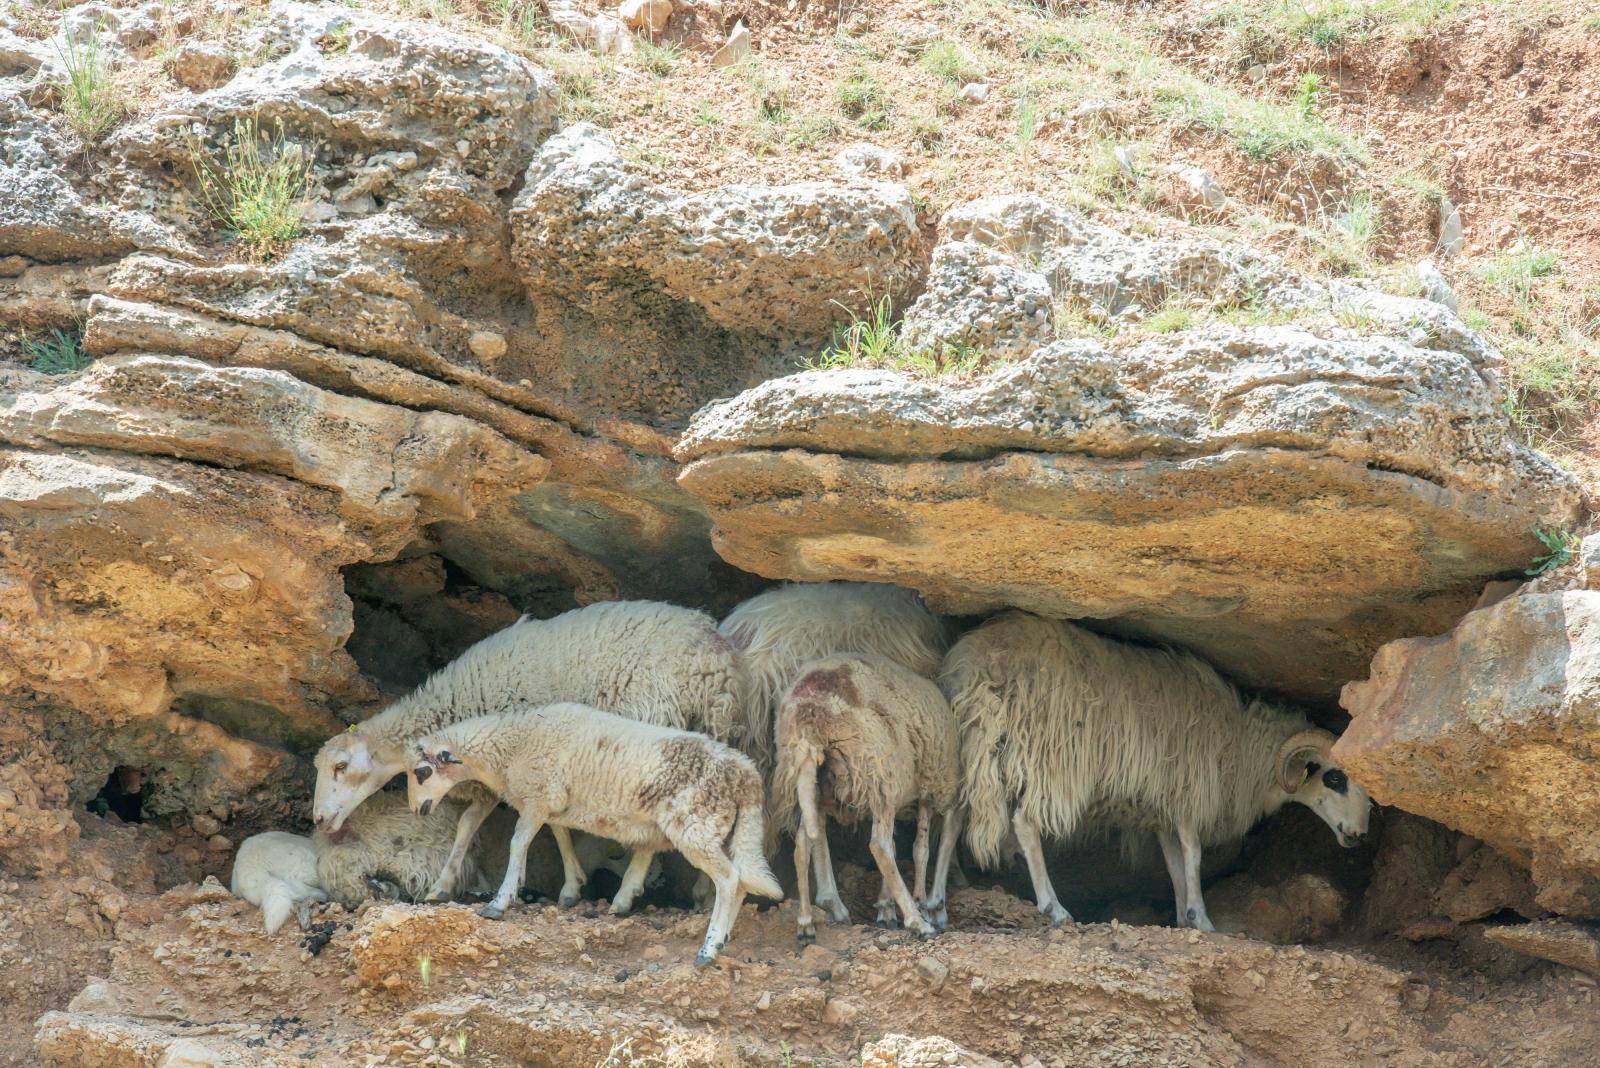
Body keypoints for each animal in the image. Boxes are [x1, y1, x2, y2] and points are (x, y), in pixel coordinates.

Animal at [312, 601, 748, 908]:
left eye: (341, 766)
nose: (317, 820)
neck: (452, 703)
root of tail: (711, 648)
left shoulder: (529, 760)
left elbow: (548, 825)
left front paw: (570, 885)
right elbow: (469, 825)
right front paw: (443, 885)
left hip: (653, 731)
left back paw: (629, 892)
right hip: (717, 725)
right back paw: (701, 891)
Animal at [406, 700, 780, 965]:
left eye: (423, 771)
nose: (416, 809)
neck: (510, 745)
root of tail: (747, 775)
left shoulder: (537, 795)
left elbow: (519, 842)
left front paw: (501, 900)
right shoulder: (553, 800)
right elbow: (560, 835)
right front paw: (572, 886)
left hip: (696, 825)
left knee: (729, 880)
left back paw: (708, 948)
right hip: (722, 829)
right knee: (741, 881)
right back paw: (716, 937)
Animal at [764, 655, 953, 940]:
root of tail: (810, 714)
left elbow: (905, 845)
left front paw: (886, 907)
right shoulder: (926, 790)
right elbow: (920, 849)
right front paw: (918, 904)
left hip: (807, 772)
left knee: (803, 844)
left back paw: (806, 923)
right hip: (877, 771)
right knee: (880, 846)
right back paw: (917, 922)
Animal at [934, 613, 1376, 927]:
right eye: (1335, 777)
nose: (1358, 836)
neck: (1244, 746)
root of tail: (983, 661)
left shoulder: (1163, 807)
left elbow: (1175, 862)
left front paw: (1184, 917)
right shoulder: (1189, 792)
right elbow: (1193, 854)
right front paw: (1203, 919)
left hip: (975, 741)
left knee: (954, 816)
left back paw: (936, 904)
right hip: (1048, 757)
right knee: (1026, 823)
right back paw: (1053, 908)